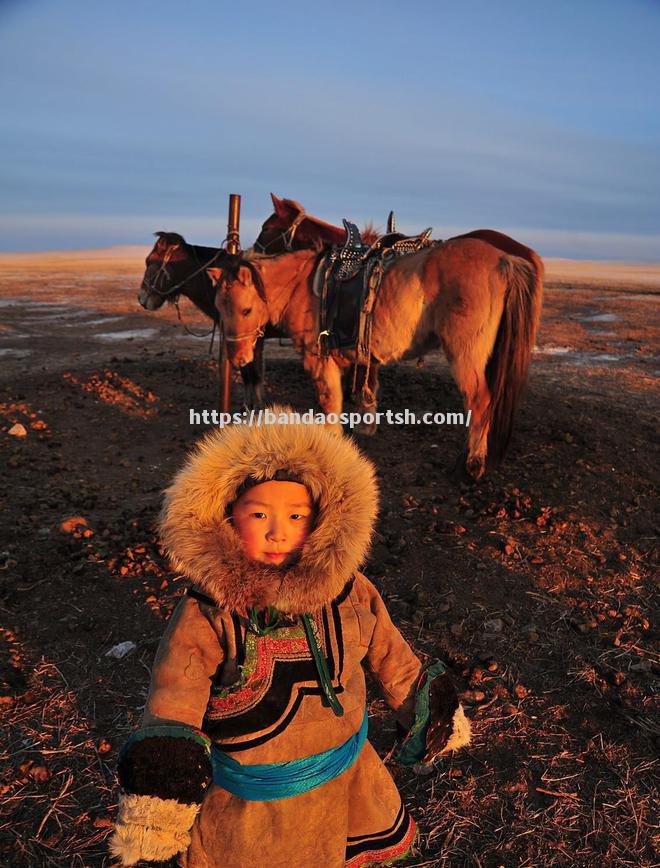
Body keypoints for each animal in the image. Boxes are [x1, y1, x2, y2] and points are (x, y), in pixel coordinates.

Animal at [209, 236, 544, 482]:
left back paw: (472, 465)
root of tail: (504, 260)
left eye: (246, 310)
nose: (237, 359)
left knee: (479, 400)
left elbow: (331, 407)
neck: (304, 286)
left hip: (465, 355)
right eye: (219, 308)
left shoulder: (320, 363)